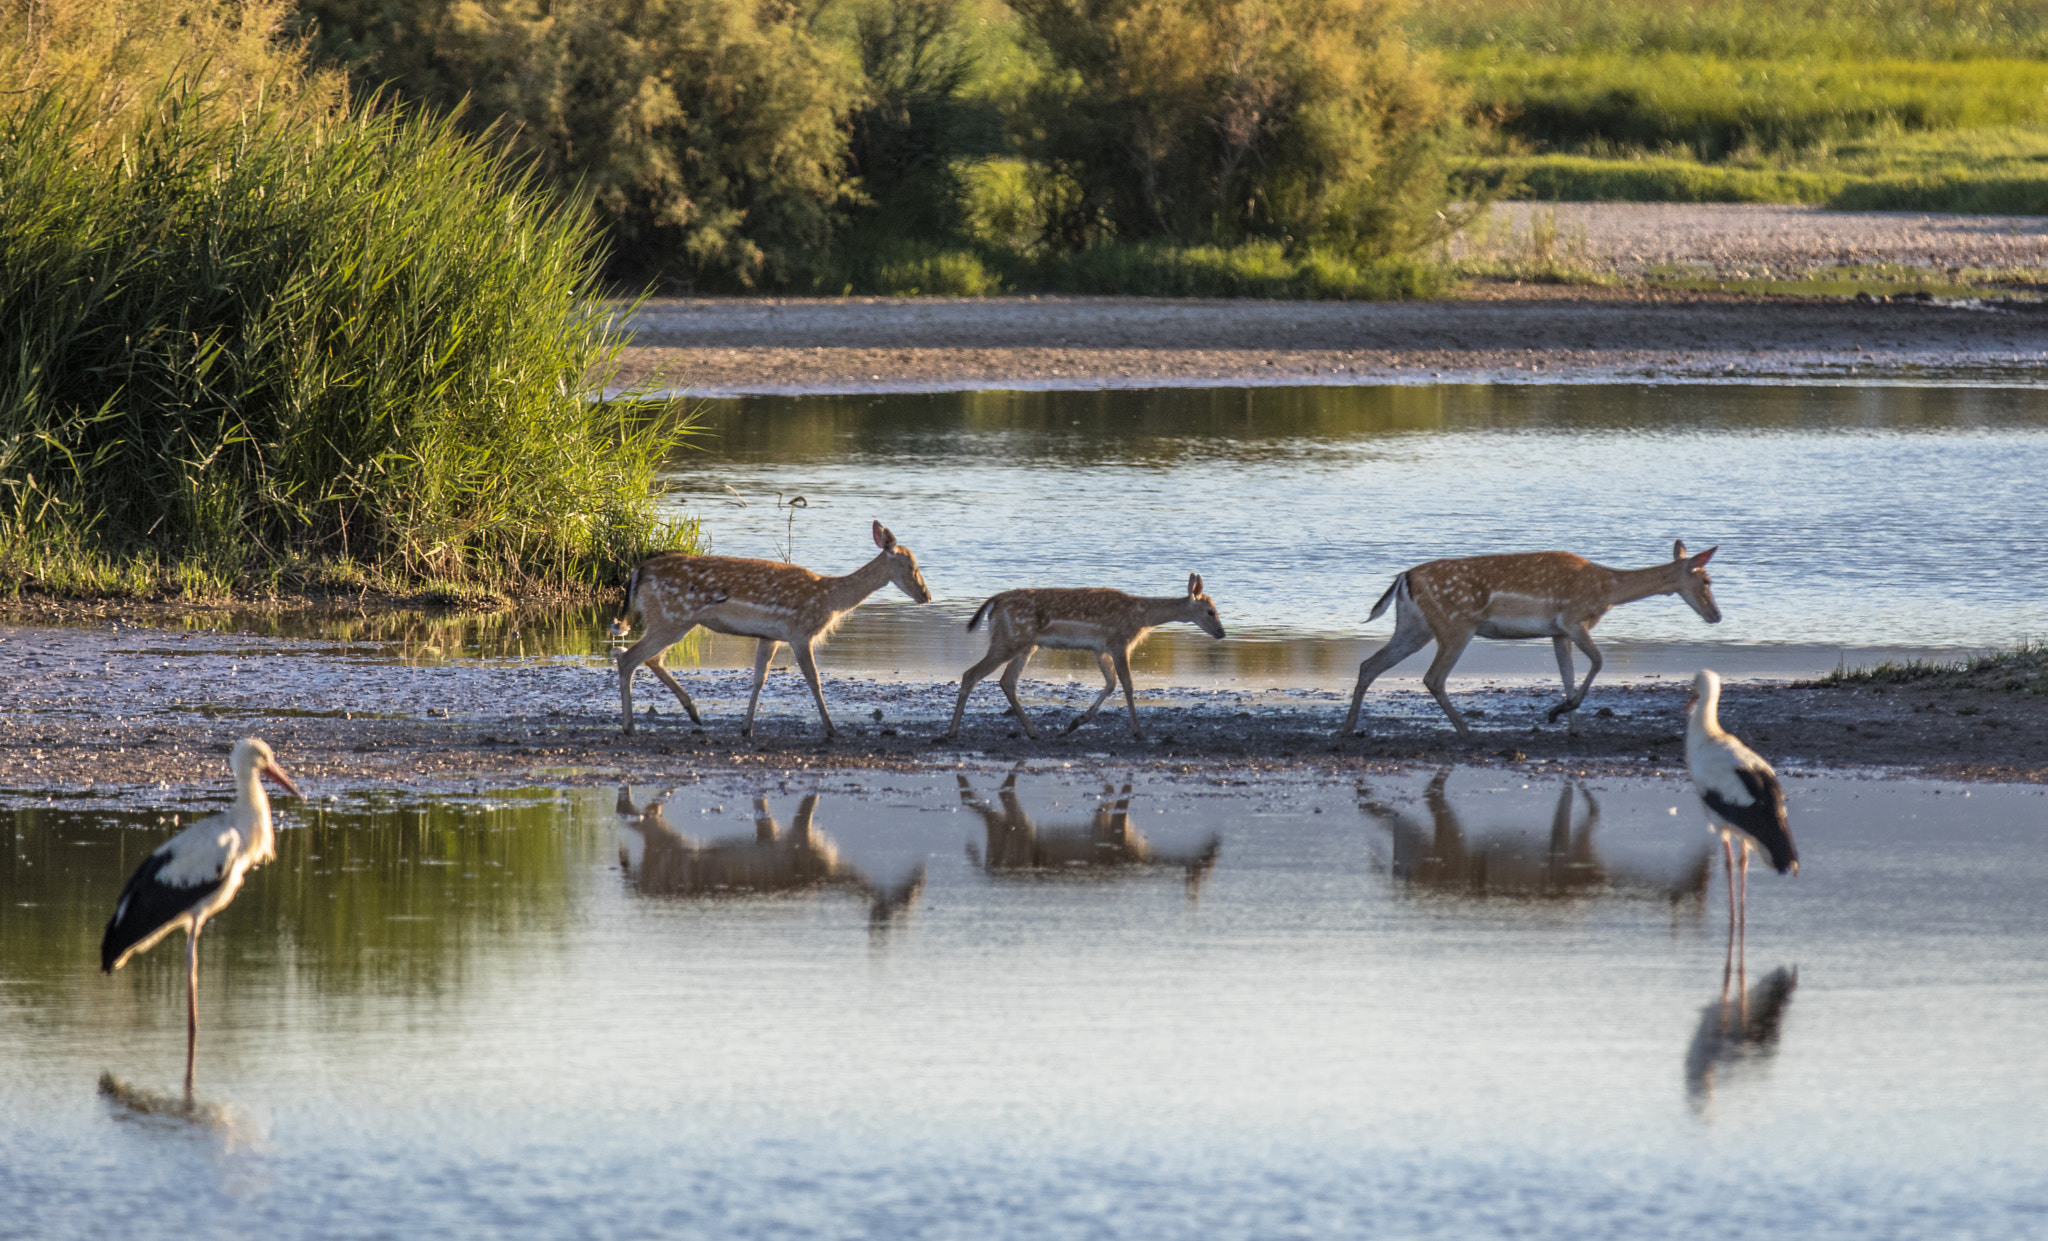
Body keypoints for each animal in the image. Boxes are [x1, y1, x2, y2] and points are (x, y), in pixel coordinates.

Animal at [606, 518, 929, 737]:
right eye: (912, 566)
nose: (926, 596)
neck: (829, 598)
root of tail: (638, 571)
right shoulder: (799, 632)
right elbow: (814, 679)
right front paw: (832, 729)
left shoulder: (770, 636)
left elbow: (759, 678)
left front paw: (746, 728)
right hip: (671, 618)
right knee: (628, 658)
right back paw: (630, 726)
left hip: (673, 621)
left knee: (649, 658)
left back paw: (694, 713)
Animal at [946, 577, 1220, 745]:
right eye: (1210, 611)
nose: (1222, 633)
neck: (1142, 617)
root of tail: (994, 602)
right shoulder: (1119, 642)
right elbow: (1128, 685)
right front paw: (1139, 732)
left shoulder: (1100, 649)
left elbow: (1110, 683)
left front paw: (1075, 722)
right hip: (1009, 638)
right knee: (972, 674)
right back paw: (952, 732)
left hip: (1025, 644)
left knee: (1007, 681)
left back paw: (1034, 732)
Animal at [1335, 540, 1720, 737]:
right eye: (1707, 580)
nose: (1716, 616)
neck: (1608, 590)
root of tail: (1403, 578)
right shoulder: (1573, 619)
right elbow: (1598, 661)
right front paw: (1559, 712)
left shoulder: (1558, 631)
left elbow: (1568, 675)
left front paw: (1570, 724)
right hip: (1455, 625)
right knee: (1433, 677)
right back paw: (1467, 731)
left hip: (1414, 626)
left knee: (1369, 665)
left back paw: (1348, 729)